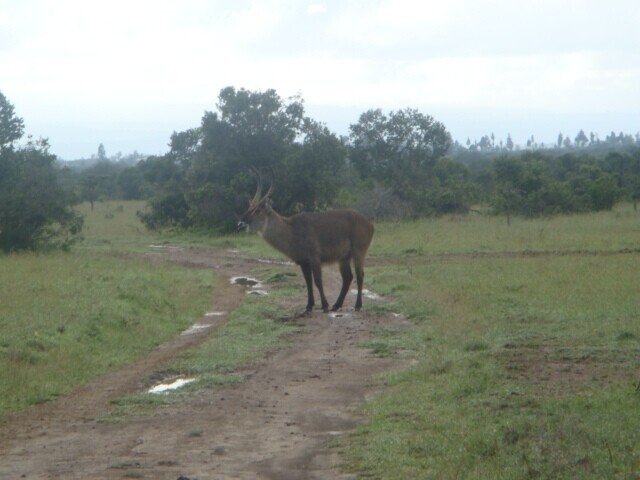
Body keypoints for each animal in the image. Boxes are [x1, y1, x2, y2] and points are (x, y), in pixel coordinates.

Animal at [238, 174, 372, 314]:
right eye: (249, 208)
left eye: (257, 210)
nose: (240, 223)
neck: (291, 231)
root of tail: (369, 224)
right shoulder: (303, 262)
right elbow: (308, 282)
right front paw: (309, 306)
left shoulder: (314, 258)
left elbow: (318, 281)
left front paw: (324, 305)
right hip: (343, 258)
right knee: (348, 277)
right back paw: (336, 305)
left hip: (359, 252)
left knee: (360, 275)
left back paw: (357, 305)